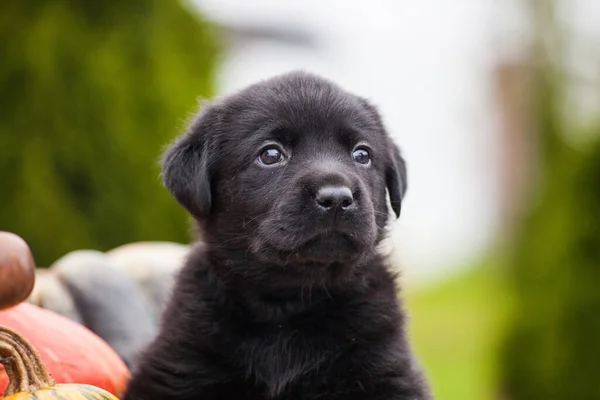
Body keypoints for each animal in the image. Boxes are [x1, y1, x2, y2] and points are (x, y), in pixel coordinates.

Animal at [123, 72, 432, 400]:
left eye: (362, 154)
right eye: (270, 154)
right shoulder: (178, 367)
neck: (288, 305)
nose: (337, 197)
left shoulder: (388, 372)